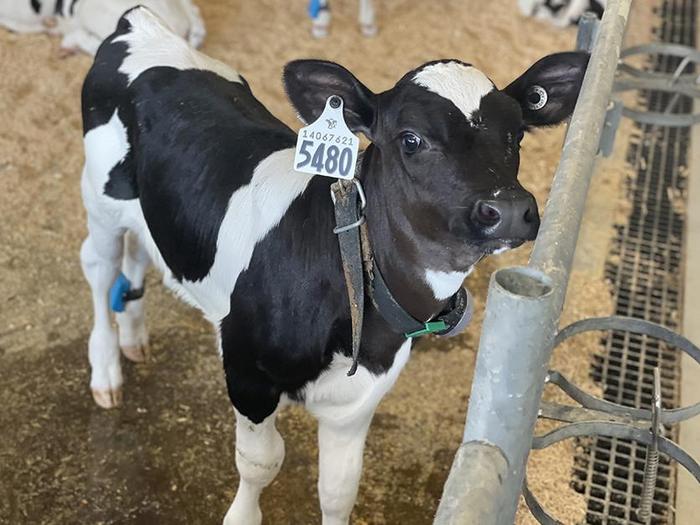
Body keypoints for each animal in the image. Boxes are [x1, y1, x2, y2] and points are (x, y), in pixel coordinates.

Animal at [79, 7, 588, 524]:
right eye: (410, 139)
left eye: (516, 135)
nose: (508, 209)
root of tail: (140, 23)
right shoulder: (245, 372)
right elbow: (260, 462)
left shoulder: (359, 399)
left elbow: (339, 488)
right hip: (99, 200)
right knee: (99, 268)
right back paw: (106, 371)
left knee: (140, 250)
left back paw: (134, 338)